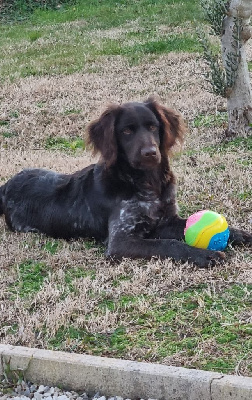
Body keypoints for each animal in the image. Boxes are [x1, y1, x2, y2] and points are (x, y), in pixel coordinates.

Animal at [0, 97, 251, 268]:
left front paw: (241, 234)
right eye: (126, 131)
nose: (150, 153)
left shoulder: (166, 221)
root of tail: (5, 186)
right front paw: (204, 254)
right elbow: (168, 244)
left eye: (153, 126)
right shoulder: (121, 241)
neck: (149, 184)